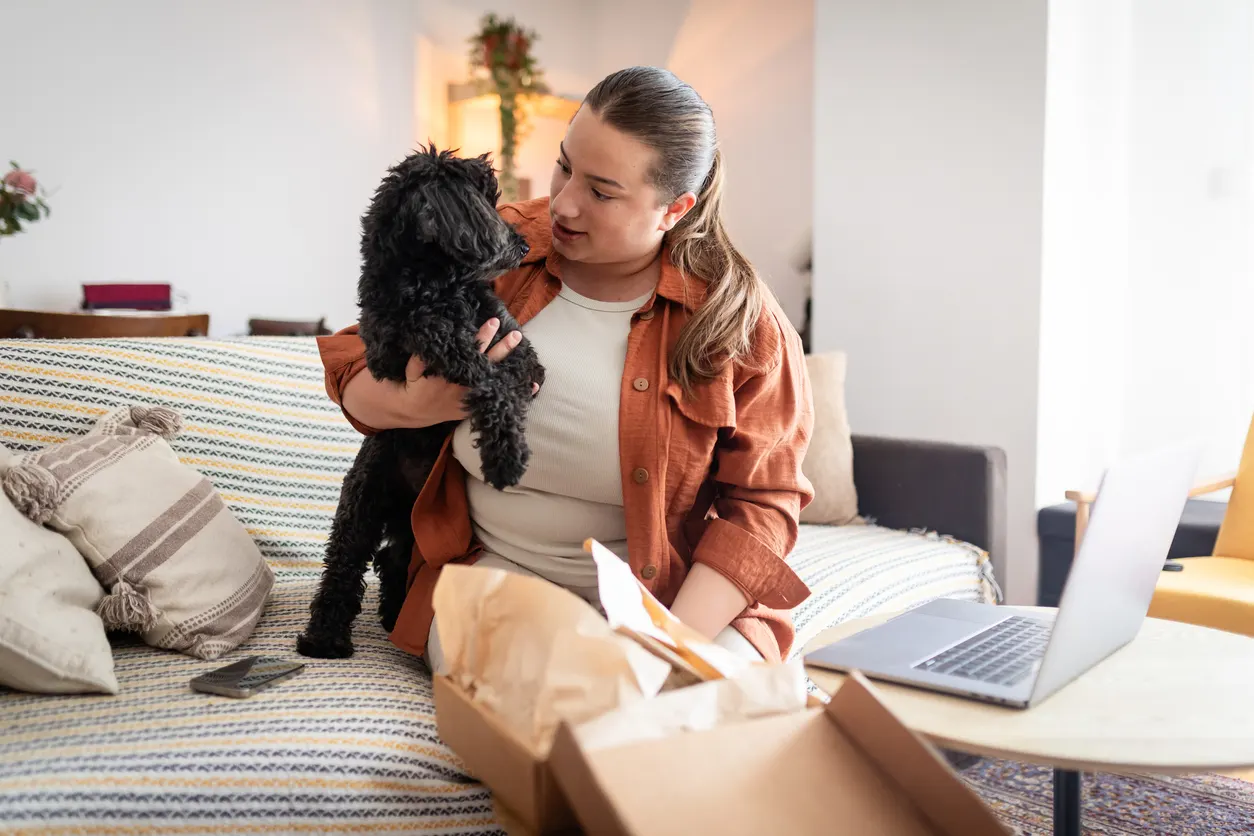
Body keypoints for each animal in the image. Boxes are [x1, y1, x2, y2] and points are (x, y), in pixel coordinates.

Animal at [298, 148, 549, 661]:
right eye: (485, 201)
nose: (521, 245)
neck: (439, 285)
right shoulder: (432, 340)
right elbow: (490, 385)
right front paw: (506, 457)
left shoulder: (516, 347)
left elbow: (515, 378)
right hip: (361, 508)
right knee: (344, 566)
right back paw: (325, 638)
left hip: (407, 531)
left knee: (393, 560)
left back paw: (393, 618)